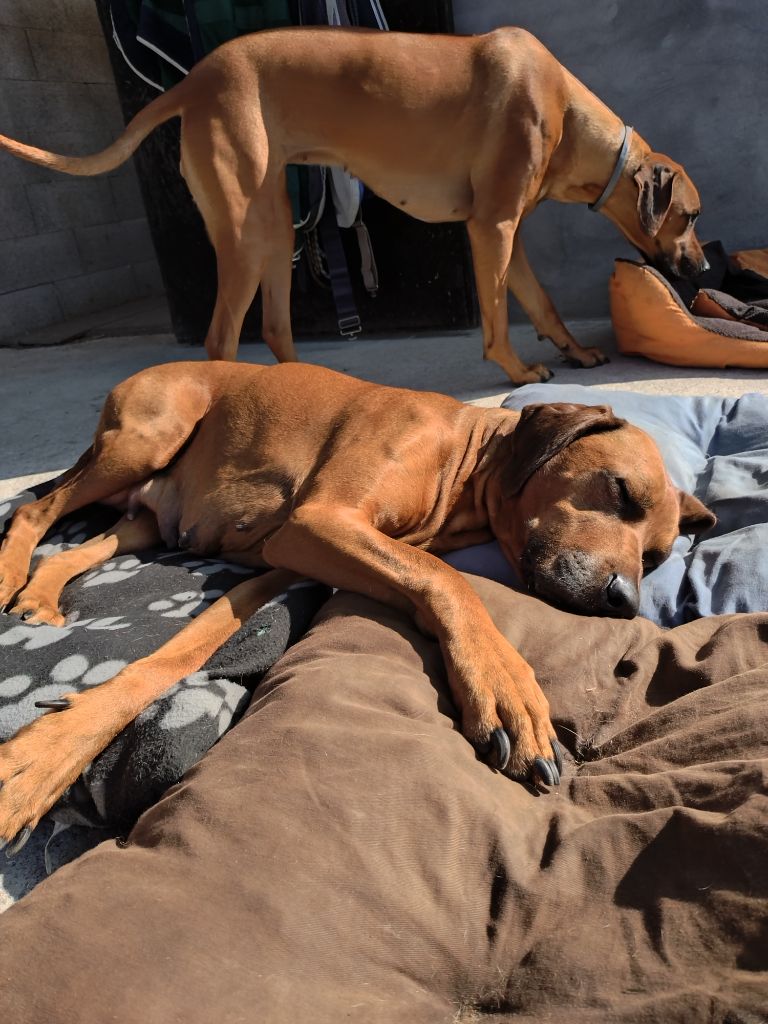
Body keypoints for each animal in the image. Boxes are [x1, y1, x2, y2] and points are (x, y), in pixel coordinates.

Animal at [0, 29, 708, 387]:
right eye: (694, 216)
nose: (701, 269)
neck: (564, 108)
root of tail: (192, 80)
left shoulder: (508, 231)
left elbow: (543, 302)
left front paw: (576, 353)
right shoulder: (492, 227)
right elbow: (499, 318)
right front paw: (517, 370)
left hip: (273, 223)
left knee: (275, 327)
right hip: (244, 230)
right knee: (220, 339)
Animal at [0, 364, 716, 851]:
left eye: (657, 557)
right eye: (619, 491)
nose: (623, 601)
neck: (462, 461)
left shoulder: (285, 561)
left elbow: (175, 657)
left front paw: (56, 746)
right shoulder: (319, 520)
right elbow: (446, 578)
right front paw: (509, 688)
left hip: (146, 516)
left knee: (76, 545)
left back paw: (38, 596)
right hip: (147, 437)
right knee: (35, 507)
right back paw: (12, 575)